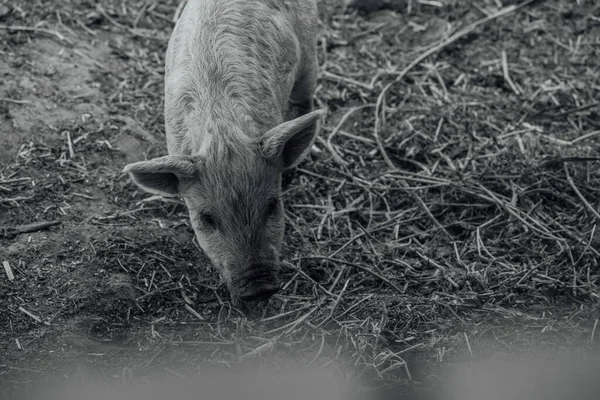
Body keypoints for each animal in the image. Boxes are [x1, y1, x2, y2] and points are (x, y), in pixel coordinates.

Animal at [121, 0, 324, 304]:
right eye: (207, 219)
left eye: (273, 206)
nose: (259, 289)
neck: (221, 133)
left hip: (309, 49)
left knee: (305, 97)